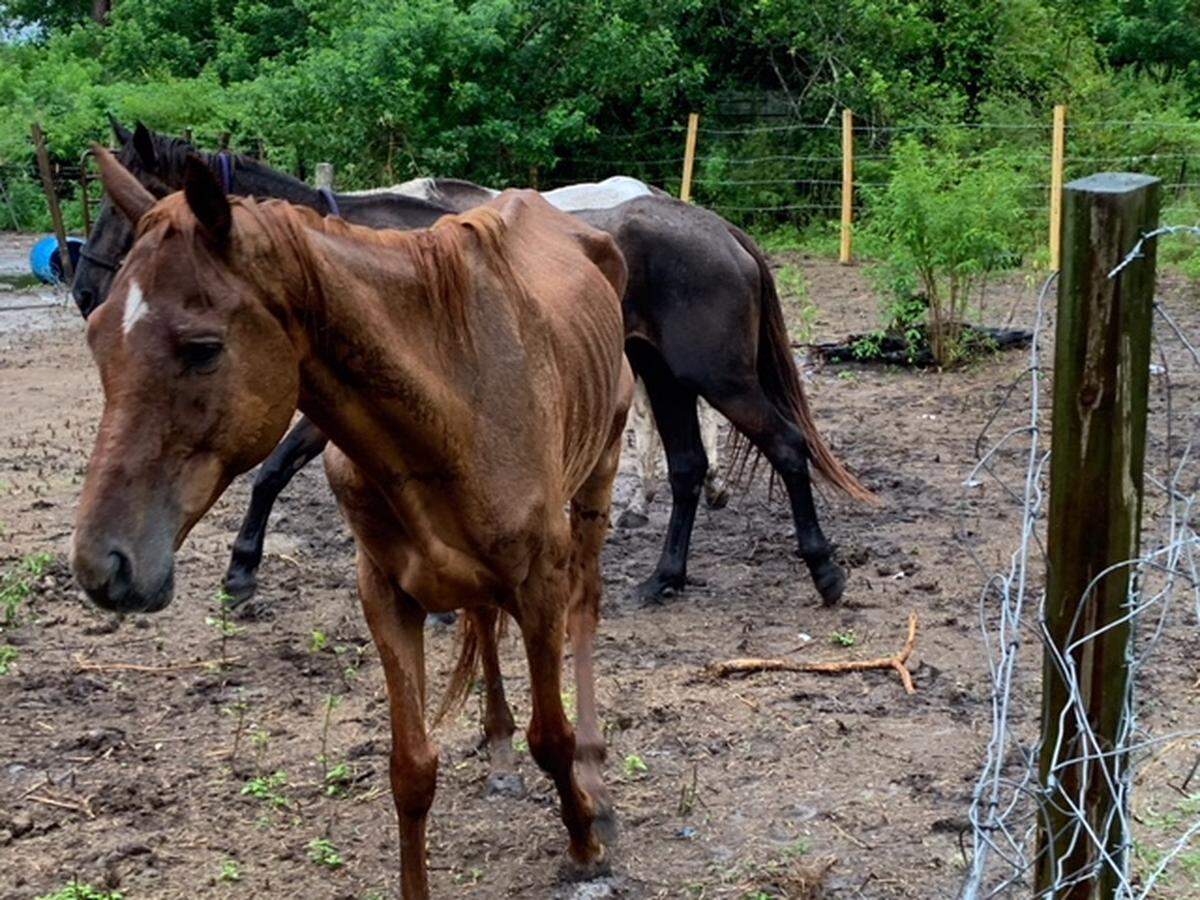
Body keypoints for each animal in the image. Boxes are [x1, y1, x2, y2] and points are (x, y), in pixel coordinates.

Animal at [71, 146, 632, 897]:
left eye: (203, 347)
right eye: (98, 336)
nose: (103, 566)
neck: (454, 403)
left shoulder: (539, 582)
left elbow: (555, 736)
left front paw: (584, 839)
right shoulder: (387, 595)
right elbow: (411, 771)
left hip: (598, 476)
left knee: (585, 612)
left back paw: (595, 774)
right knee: (484, 620)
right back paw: (498, 744)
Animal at [72, 121, 871, 611]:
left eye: (124, 212)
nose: (83, 290)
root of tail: (717, 226)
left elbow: (273, 469)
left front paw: (242, 567)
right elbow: (279, 472)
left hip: (717, 379)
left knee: (785, 448)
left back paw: (824, 570)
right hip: (667, 377)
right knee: (686, 467)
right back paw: (663, 578)